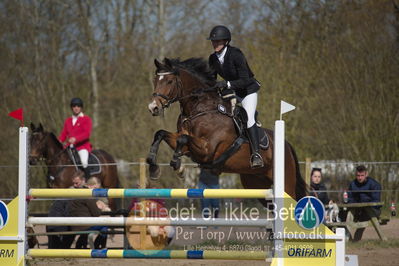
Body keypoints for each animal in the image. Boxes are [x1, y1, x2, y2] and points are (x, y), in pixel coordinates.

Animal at [148, 57, 308, 203]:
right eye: (155, 81)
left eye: (169, 81)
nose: (153, 107)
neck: (198, 109)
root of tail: (287, 145)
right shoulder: (189, 147)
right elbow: (161, 134)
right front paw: (154, 167)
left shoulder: (207, 150)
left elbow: (183, 139)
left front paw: (177, 166)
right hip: (255, 183)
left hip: (286, 183)